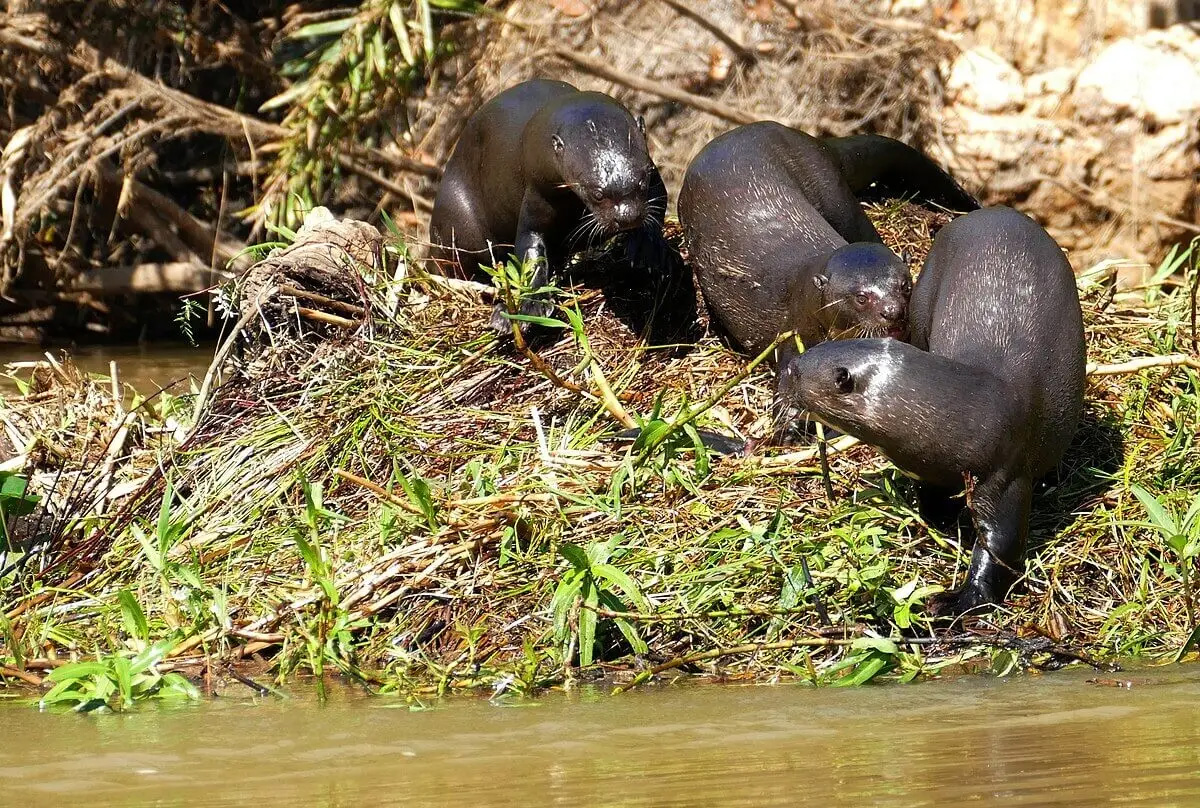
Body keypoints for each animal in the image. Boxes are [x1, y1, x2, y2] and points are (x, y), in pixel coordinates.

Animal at [429, 79, 669, 334]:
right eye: (597, 193)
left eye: (641, 182)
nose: (627, 217)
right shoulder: (537, 193)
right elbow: (531, 246)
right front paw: (530, 306)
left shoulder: (652, 173)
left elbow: (659, 200)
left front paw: (646, 248)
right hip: (459, 224)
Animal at [777, 207, 1086, 616]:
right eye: (803, 355)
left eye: (797, 370)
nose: (784, 376)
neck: (972, 414)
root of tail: (993, 211)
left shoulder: (1007, 470)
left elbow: (1001, 548)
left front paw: (957, 600)